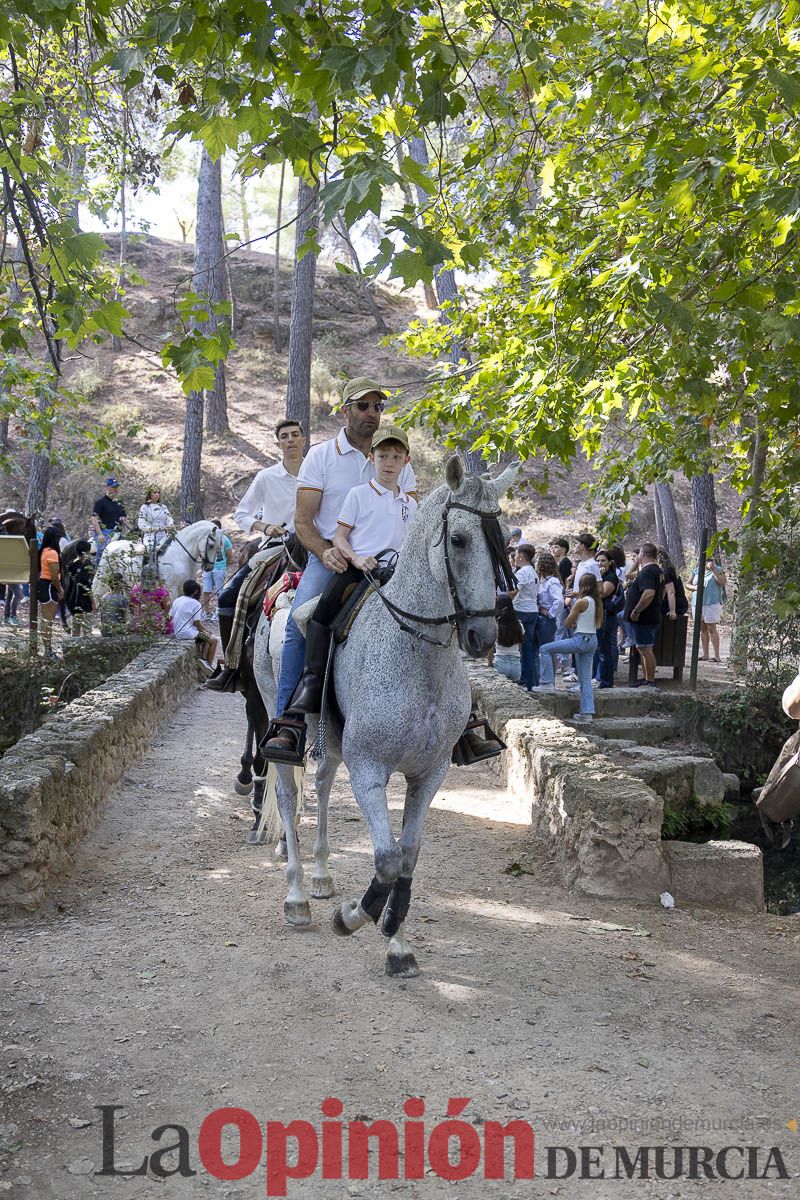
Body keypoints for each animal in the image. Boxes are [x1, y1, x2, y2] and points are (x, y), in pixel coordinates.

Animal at [91, 520, 223, 601]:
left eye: (219, 546)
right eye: (211, 545)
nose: (209, 568)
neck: (179, 555)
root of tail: (110, 546)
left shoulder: (183, 588)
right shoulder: (172, 589)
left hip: (123, 582)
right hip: (104, 579)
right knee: (96, 597)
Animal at [254, 457, 518, 977]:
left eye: (500, 542)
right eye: (459, 539)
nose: (482, 634)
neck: (416, 655)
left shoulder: (429, 773)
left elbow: (408, 856)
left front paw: (396, 937)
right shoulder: (370, 770)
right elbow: (386, 858)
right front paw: (355, 917)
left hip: (333, 740)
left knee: (321, 785)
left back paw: (321, 876)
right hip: (278, 717)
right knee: (290, 799)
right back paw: (298, 897)